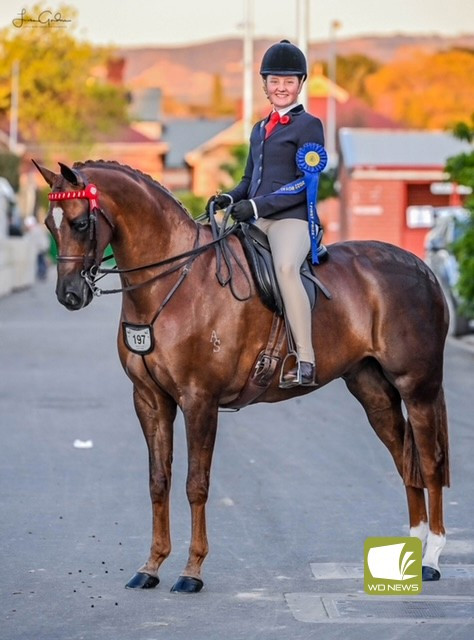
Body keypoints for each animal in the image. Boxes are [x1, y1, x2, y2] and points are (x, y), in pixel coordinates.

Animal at [35, 161, 450, 596]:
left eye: (81, 222)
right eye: (49, 223)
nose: (69, 294)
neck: (173, 280)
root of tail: (421, 268)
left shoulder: (199, 400)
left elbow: (195, 484)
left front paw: (191, 571)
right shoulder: (150, 399)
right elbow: (158, 480)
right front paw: (151, 566)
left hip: (417, 388)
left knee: (430, 462)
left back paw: (433, 558)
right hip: (373, 392)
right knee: (405, 460)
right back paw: (413, 552)